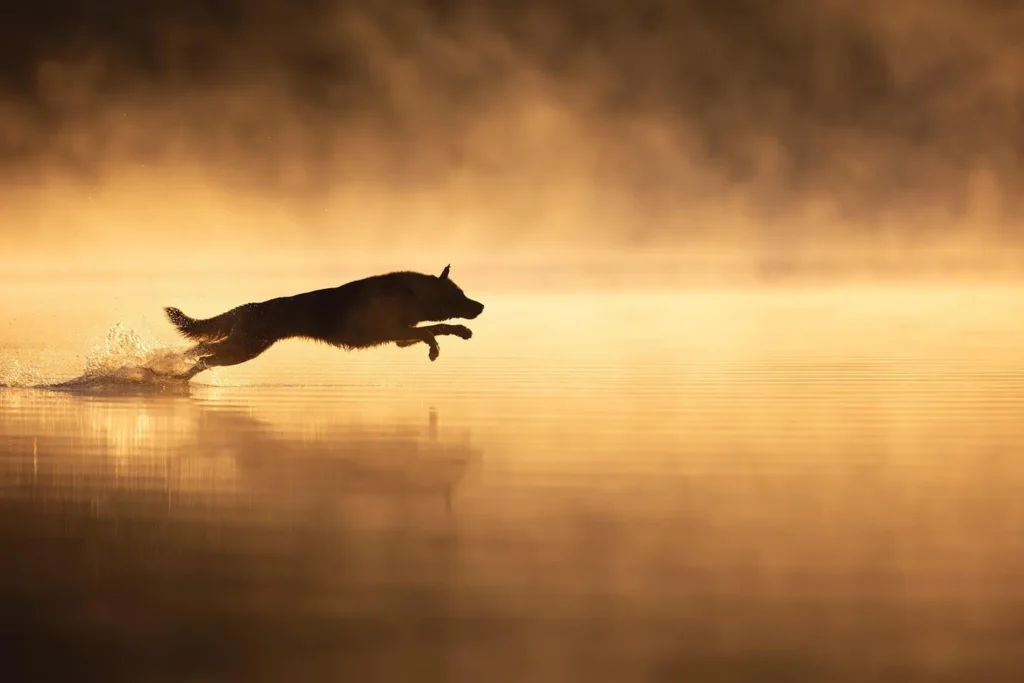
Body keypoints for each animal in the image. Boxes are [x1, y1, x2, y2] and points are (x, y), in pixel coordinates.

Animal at [165, 264, 485, 378]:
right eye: (459, 295)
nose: (481, 306)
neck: (410, 294)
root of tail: (248, 307)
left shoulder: (401, 336)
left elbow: (436, 328)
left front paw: (460, 332)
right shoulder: (393, 330)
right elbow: (432, 331)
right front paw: (436, 350)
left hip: (242, 347)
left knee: (198, 352)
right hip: (244, 349)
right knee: (201, 355)